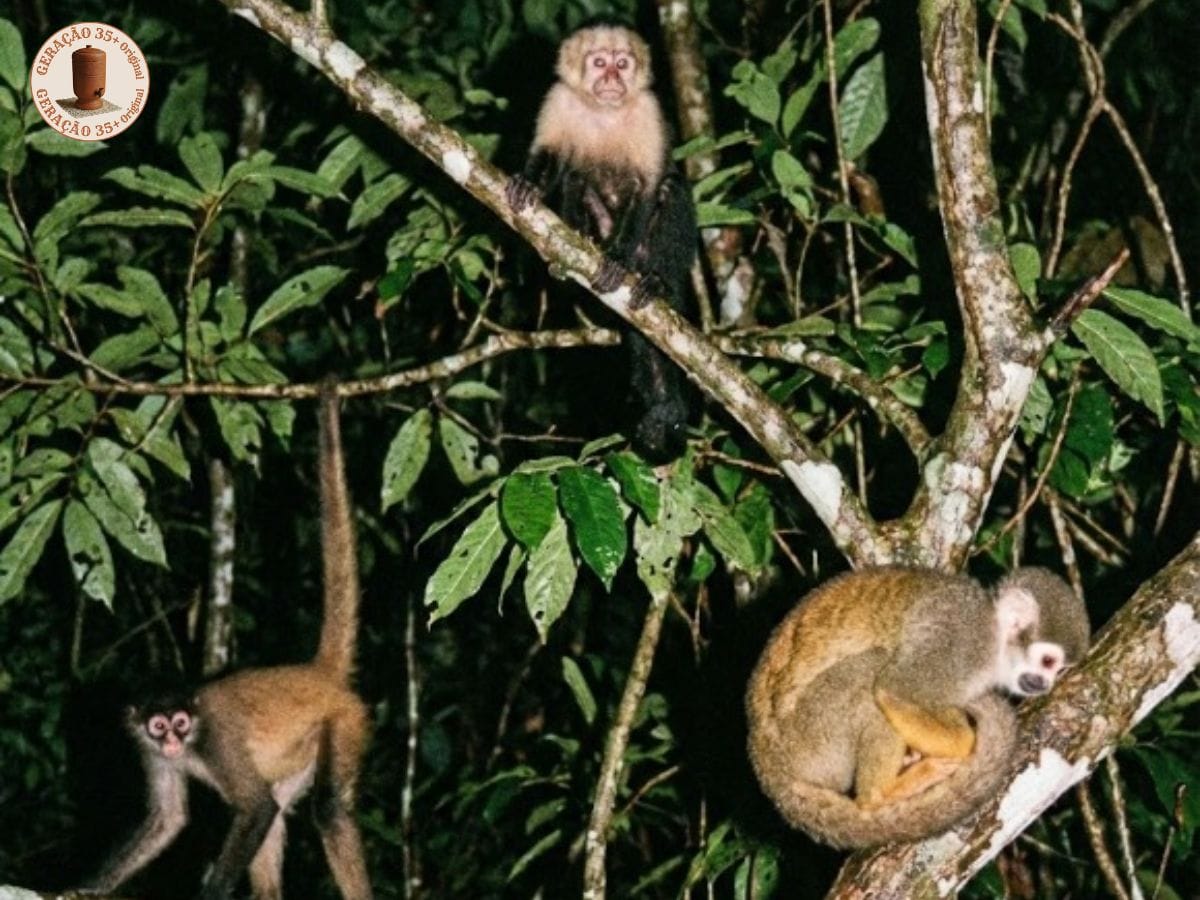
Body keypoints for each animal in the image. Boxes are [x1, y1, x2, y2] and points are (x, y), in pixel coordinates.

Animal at [78, 386, 372, 900]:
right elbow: (169, 820)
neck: (193, 738)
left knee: (327, 809)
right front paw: (88, 888)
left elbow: (256, 808)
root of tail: (317, 673)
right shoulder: (147, 750)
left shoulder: (215, 737)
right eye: (158, 727)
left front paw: (211, 891)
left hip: (345, 721)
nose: (173, 740)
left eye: (180, 723)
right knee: (281, 806)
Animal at [507, 22, 697, 462]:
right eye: (598, 62)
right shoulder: (558, 101)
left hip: (653, 253)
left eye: (622, 63)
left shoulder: (648, 111)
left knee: (670, 193)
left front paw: (616, 260)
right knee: (577, 180)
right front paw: (530, 184)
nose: (612, 78)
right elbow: (553, 156)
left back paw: (654, 280)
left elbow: (647, 187)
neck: (604, 112)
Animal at [745, 566, 1090, 848]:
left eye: (1059, 670)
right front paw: (963, 744)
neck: (995, 639)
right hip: (811, 740)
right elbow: (895, 689)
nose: (1045, 684)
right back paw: (881, 793)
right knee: (870, 674)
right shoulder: (959, 637)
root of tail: (770, 771)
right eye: (1048, 661)